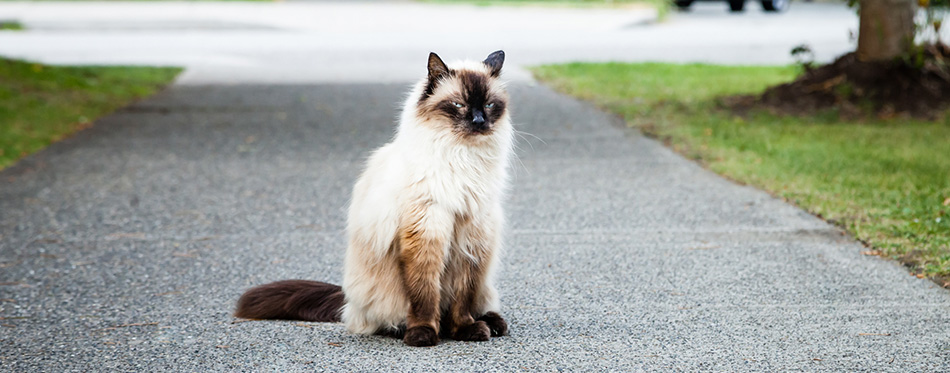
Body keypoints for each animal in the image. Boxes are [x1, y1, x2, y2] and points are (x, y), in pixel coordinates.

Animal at [235, 49, 516, 346]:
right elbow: (424, 294)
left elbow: (463, 299)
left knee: (476, 304)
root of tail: (347, 301)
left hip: (485, 281)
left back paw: (490, 324)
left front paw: (466, 330)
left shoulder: (471, 239)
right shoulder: (426, 233)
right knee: (389, 318)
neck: (462, 157)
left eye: (489, 105)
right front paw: (423, 334)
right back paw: (412, 329)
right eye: (458, 105)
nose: (479, 121)